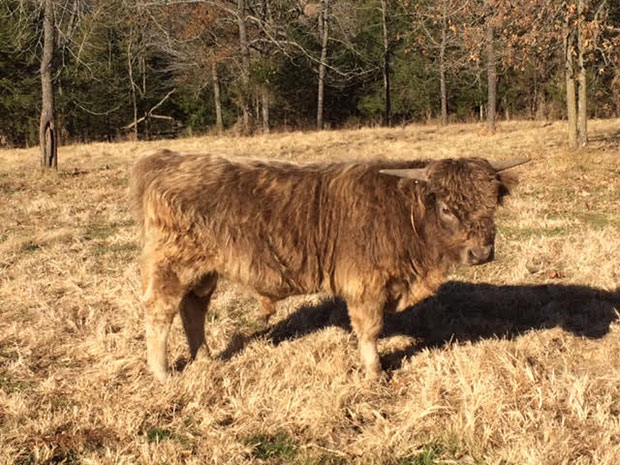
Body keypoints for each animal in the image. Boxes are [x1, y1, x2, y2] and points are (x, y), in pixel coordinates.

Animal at [131, 150, 528, 378]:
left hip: (203, 271)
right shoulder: (365, 284)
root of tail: (167, 158)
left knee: (193, 309)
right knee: (160, 312)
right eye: (446, 208)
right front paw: (374, 374)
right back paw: (164, 373)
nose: (481, 252)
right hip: (171, 265)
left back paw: (205, 359)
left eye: (492, 203)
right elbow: (369, 329)